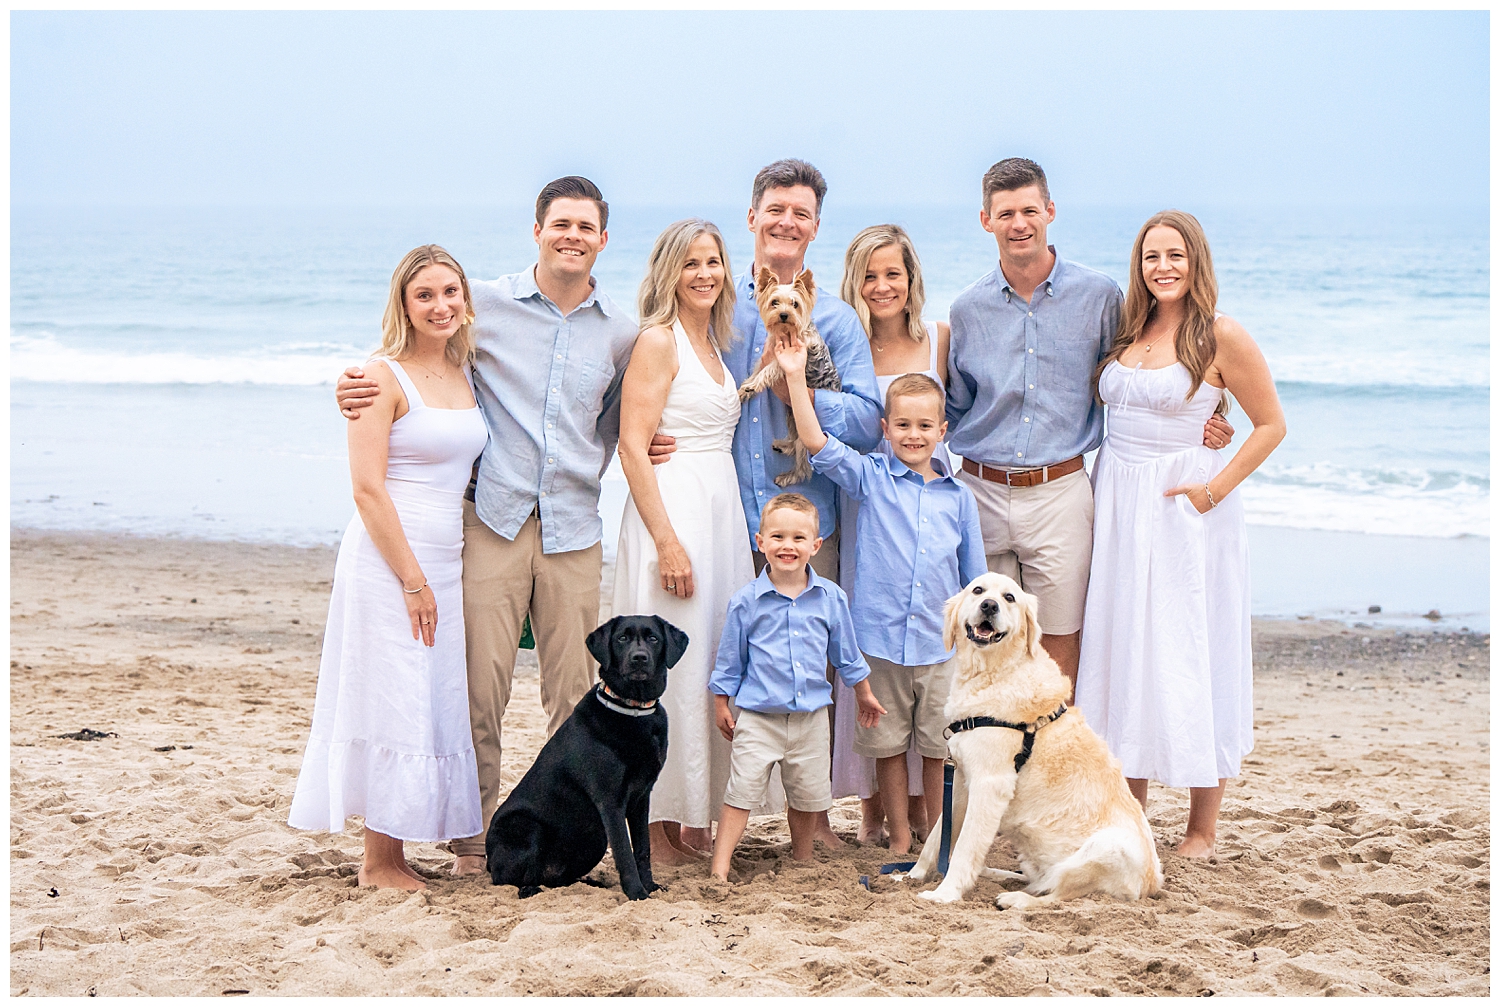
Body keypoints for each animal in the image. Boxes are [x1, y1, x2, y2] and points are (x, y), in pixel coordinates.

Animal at [483, 618, 687, 900]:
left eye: (653, 638)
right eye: (622, 638)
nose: (639, 658)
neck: (632, 710)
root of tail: (488, 860)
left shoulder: (641, 798)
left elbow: (643, 849)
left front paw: (650, 887)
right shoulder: (610, 802)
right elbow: (625, 853)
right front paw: (637, 893)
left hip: (594, 839)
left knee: (557, 878)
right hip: (527, 826)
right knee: (509, 879)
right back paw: (530, 889)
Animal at [738, 267, 846, 489]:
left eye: (795, 304)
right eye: (774, 302)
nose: (784, 314)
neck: (785, 331)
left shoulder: (788, 358)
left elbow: (768, 370)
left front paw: (753, 385)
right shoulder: (770, 351)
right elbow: (757, 369)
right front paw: (745, 388)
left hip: (807, 429)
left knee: (804, 465)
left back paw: (789, 476)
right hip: (791, 414)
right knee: (794, 440)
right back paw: (784, 445)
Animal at [900, 570, 1158, 912]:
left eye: (1009, 597)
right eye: (978, 590)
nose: (989, 605)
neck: (993, 673)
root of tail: (1153, 884)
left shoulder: (990, 785)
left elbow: (967, 845)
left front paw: (945, 893)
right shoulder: (961, 781)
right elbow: (935, 837)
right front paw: (911, 876)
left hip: (1107, 847)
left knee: (1059, 895)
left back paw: (1015, 898)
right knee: (1038, 881)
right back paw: (997, 874)